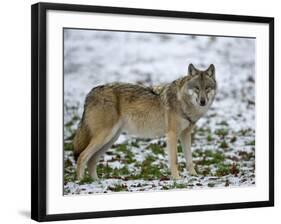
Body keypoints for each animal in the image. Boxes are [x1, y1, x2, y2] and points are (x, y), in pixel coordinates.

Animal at [72, 63, 217, 180]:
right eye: (197, 88)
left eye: (207, 88)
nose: (203, 101)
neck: (182, 101)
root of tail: (90, 93)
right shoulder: (172, 134)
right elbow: (175, 160)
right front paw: (177, 179)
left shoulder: (185, 134)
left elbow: (189, 159)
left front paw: (194, 176)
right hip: (104, 137)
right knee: (82, 157)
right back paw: (81, 182)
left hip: (111, 139)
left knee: (92, 160)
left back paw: (96, 182)